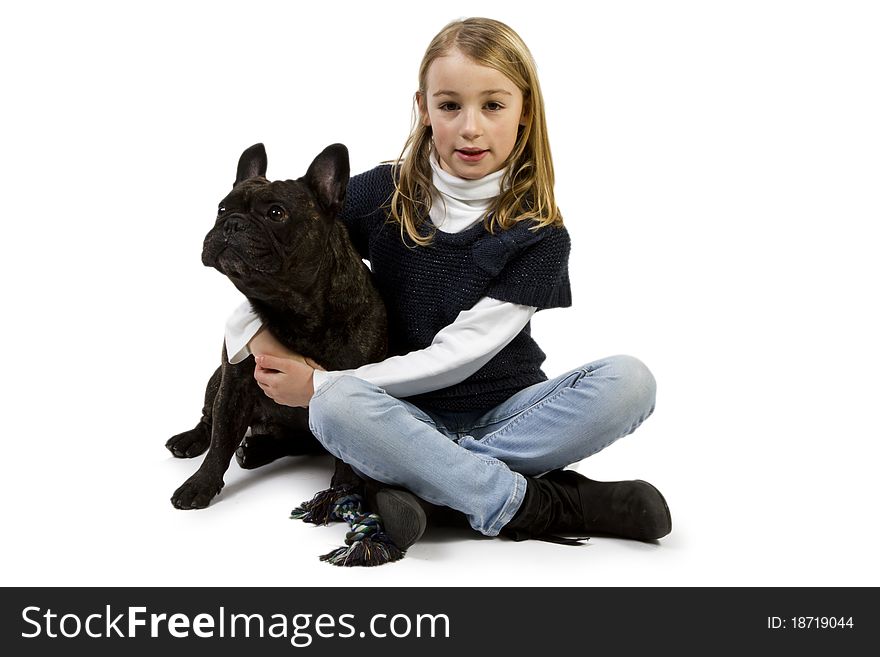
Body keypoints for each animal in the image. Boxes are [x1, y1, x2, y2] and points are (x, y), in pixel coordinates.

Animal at [167, 144, 384, 510]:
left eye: (276, 213)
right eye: (222, 208)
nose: (232, 224)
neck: (290, 307)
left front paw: (344, 491)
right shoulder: (234, 383)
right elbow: (221, 439)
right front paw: (200, 484)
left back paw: (257, 450)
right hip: (216, 379)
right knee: (210, 420)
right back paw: (193, 440)